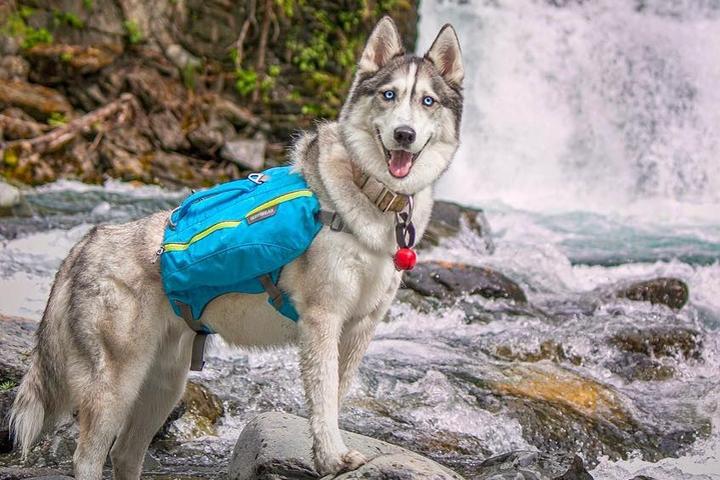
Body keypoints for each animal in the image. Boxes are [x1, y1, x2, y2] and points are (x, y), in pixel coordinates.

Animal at [9, 16, 466, 478]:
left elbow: (336, 398)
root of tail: (86, 243)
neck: (371, 198)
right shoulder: (323, 321)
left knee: (124, 453)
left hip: (164, 385)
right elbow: (323, 402)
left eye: (427, 101)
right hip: (116, 385)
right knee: (88, 455)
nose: (404, 135)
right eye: (389, 95)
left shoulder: (360, 329)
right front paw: (332, 457)